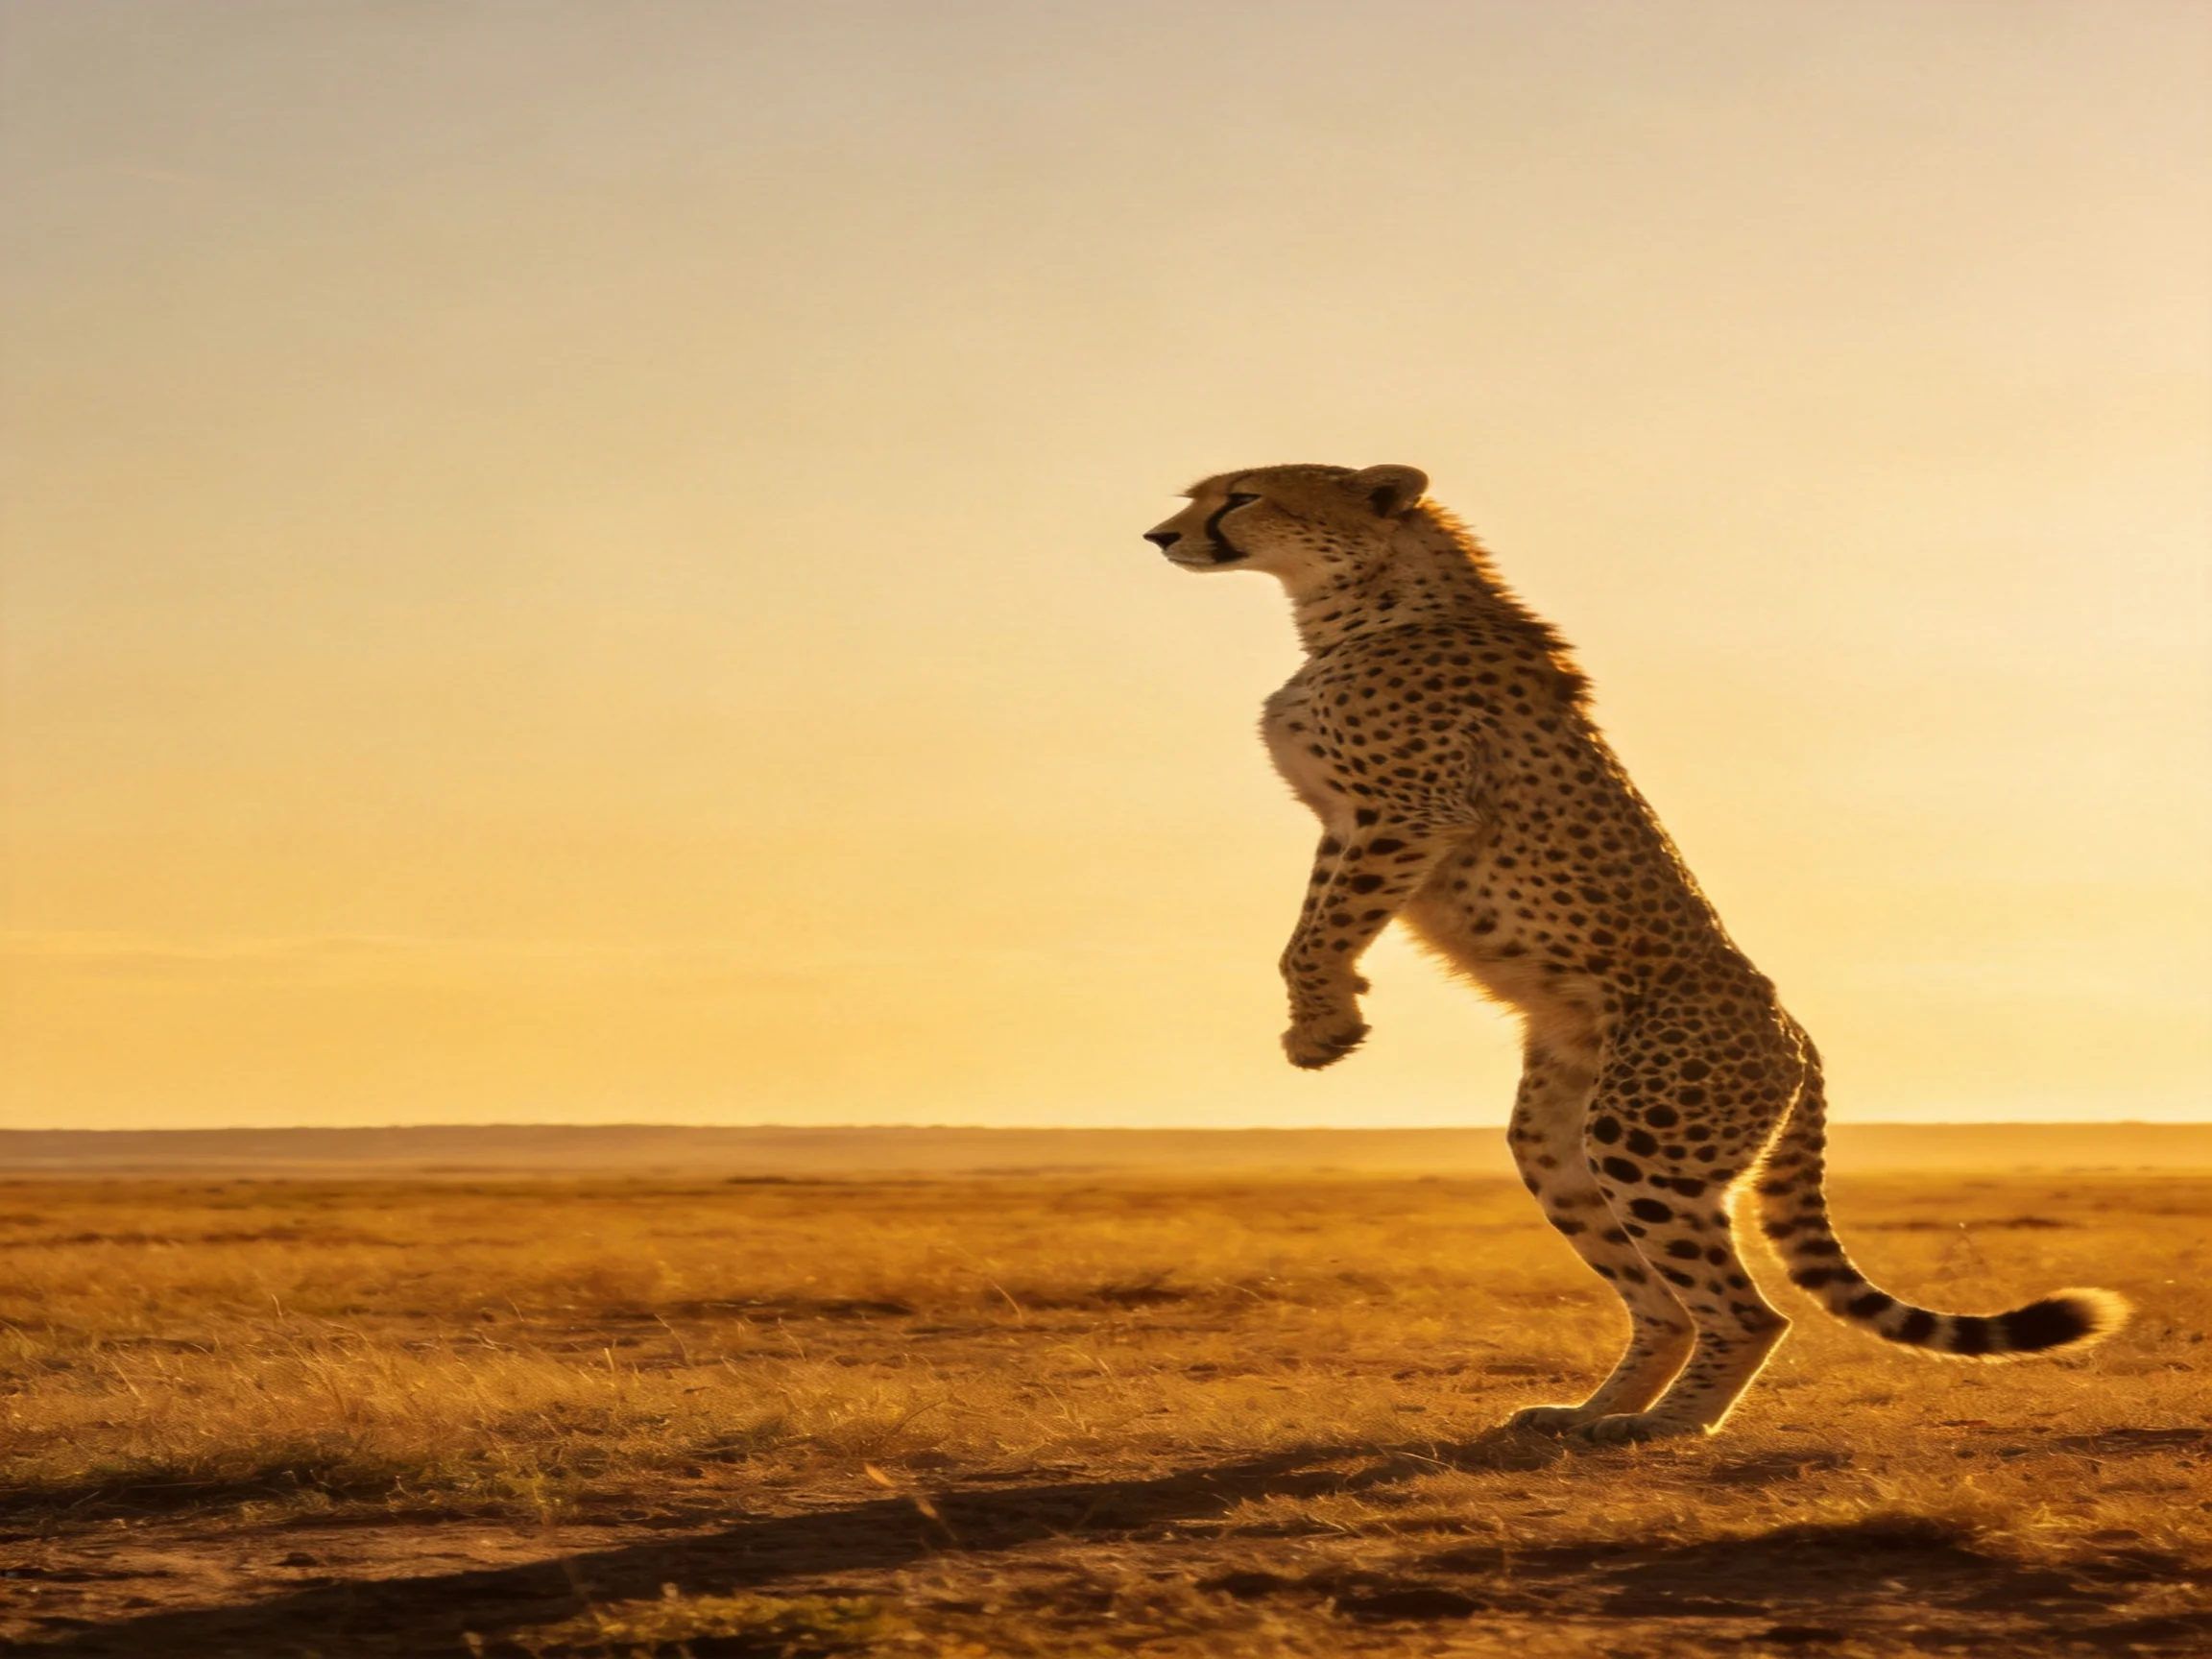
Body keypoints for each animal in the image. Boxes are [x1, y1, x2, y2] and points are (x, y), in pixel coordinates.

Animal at [1144, 461, 2128, 1443]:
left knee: (1746, 1310)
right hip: (1561, 1142)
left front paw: (1323, 1024)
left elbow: (1322, 926)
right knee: (1663, 1303)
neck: (1359, 599)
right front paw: (1326, 1012)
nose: (1160, 536)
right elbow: (1315, 922)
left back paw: (1666, 1425)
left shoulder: (1408, 815)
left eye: (1242, 496)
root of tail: (1797, 1030)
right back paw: (1591, 1411)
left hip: (1642, 1139)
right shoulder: (1354, 823)